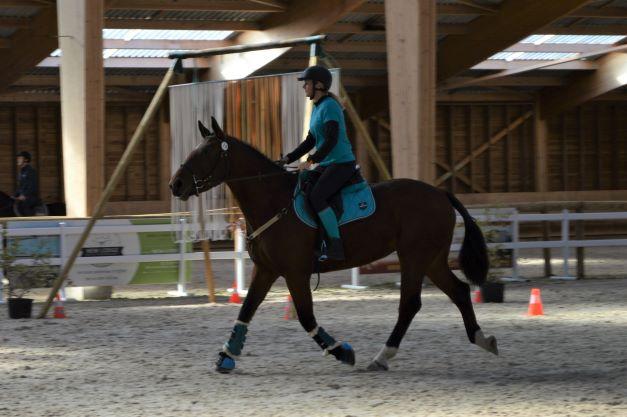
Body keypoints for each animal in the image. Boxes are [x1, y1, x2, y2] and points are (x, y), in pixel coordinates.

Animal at [169, 118, 498, 374]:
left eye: (206, 152)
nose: (176, 184)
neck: (273, 200)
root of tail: (441, 194)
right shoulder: (266, 270)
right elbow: (247, 309)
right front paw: (226, 356)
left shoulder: (295, 272)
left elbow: (305, 317)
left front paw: (343, 351)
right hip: (431, 260)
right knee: (459, 291)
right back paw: (482, 339)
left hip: (415, 258)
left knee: (410, 304)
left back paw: (383, 356)